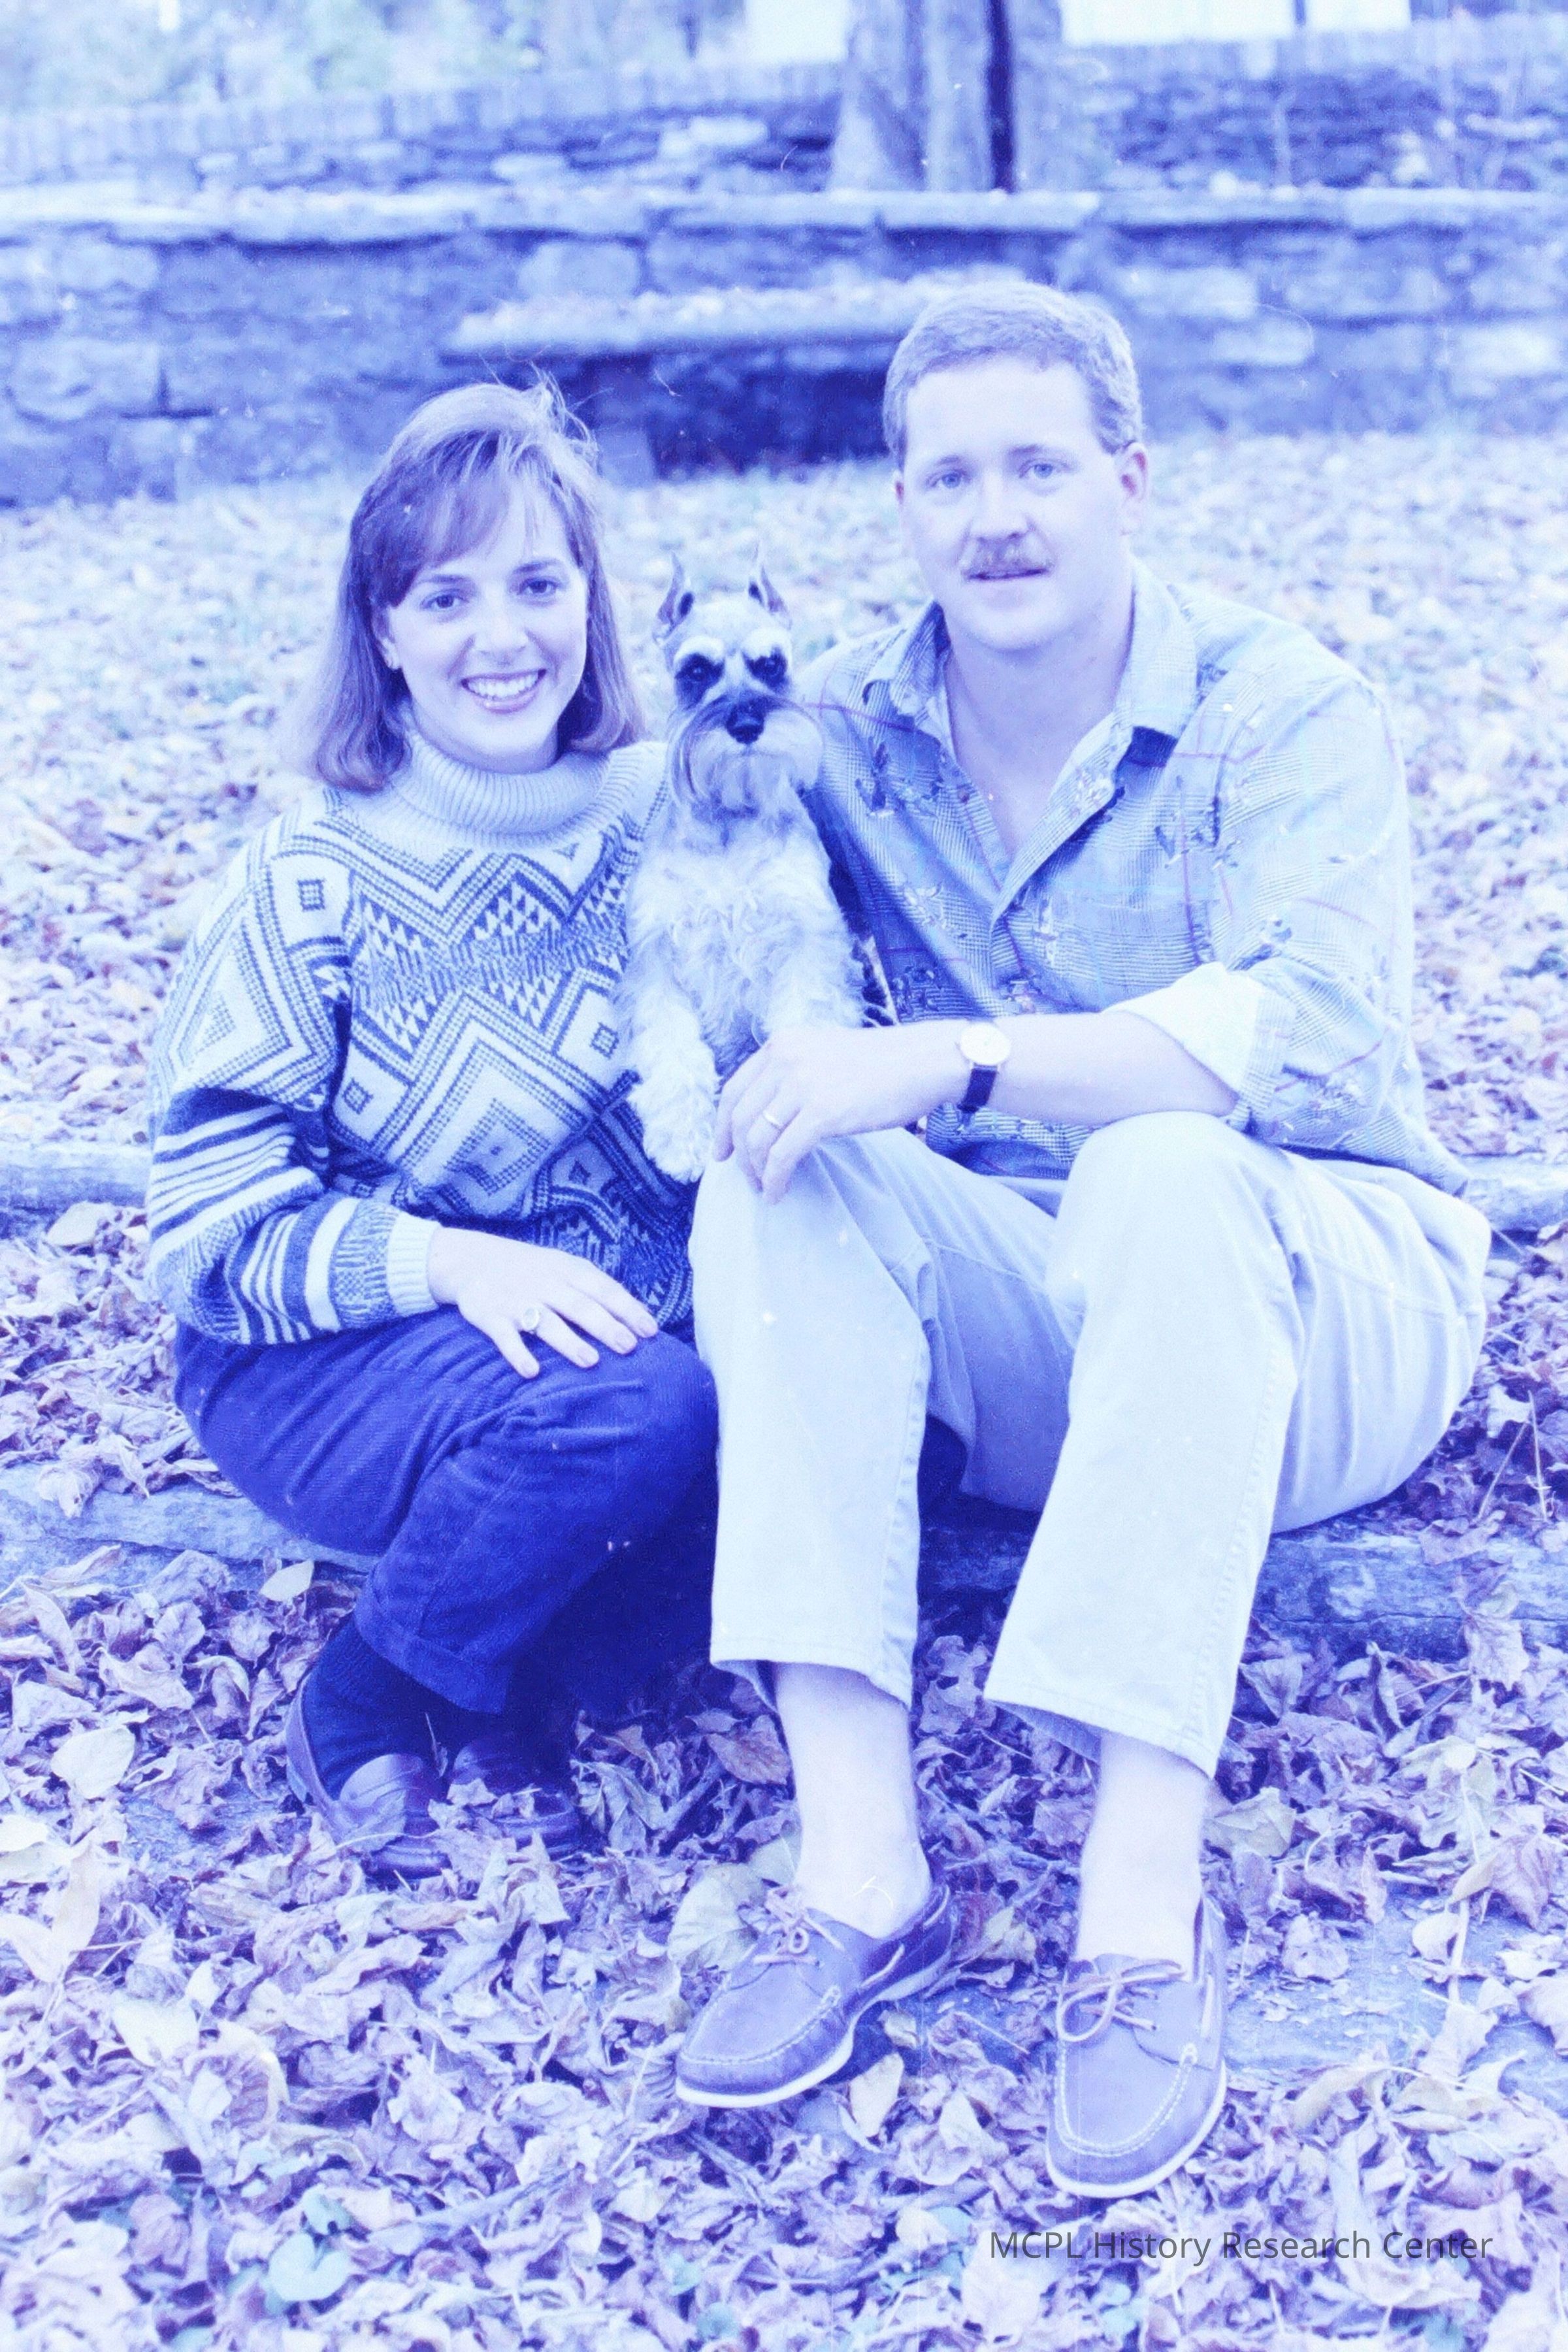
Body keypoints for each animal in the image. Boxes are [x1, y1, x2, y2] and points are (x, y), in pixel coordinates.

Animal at [621, 557, 864, 1182]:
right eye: (696, 670)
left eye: (771, 663)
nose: (747, 723)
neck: (732, 817)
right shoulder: (657, 956)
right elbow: (673, 1045)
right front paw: (682, 1137)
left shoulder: (807, 939)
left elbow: (802, 1020)